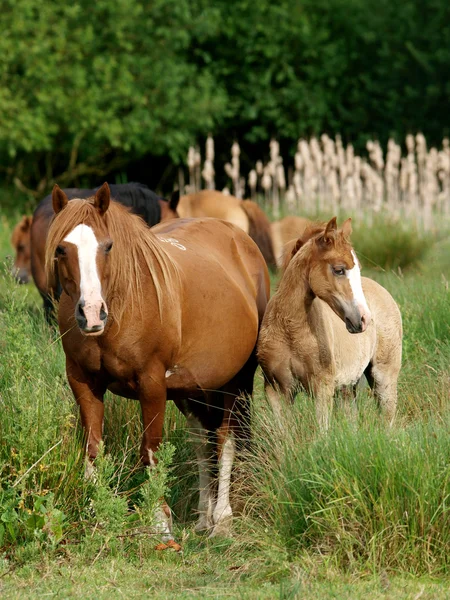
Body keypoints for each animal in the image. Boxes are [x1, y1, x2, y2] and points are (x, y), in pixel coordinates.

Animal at [45, 183, 270, 540]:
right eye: (61, 249)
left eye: (108, 246)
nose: (91, 313)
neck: (124, 304)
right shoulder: (82, 382)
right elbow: (94, 448)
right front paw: (97, 514)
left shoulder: (151, 385)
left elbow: (150, 450)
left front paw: (159, 523)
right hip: (192, 389)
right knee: (202, 441)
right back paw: (204, 518)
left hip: (237, 380)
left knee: (226, 438)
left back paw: (222, 518)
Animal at [256, 218, 404, 428]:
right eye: (339, 270)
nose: (364, 319)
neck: (290, 330)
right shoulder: (276, 389)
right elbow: (284, 431)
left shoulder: (322, 388)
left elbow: (322, 430)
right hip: (347, 388)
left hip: (383, 376)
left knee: (388, 419)